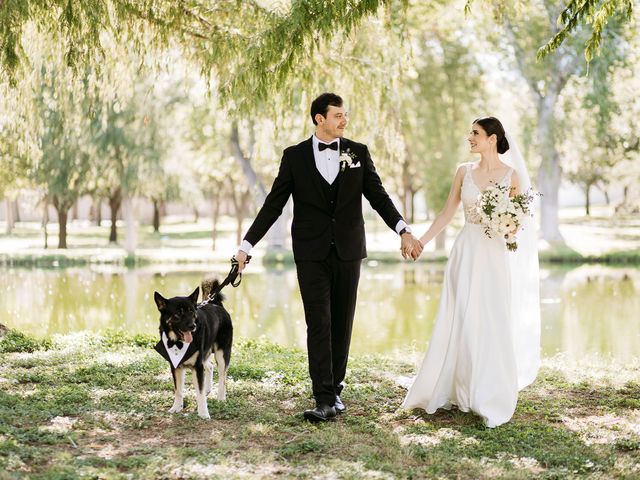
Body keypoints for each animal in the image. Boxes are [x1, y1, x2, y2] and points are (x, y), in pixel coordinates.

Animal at [152, 280, 232, 418]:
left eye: (191, 312)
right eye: (178, 314)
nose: (192, 326)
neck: (177, 343)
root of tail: (215, 304)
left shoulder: (197, 366)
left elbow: (199, 393)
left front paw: (203, 413)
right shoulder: (176, 366)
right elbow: (178, 390)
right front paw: (176, 407)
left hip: (222, 354)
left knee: (223, 377)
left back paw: (221, 397)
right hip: (205, 353)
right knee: (210, 366)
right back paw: (208, 389)